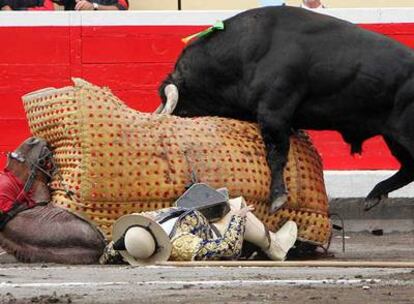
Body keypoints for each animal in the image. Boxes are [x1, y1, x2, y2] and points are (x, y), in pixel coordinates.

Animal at [158, 5, 414, 213]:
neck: (246, 50)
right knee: (408, 168)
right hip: (394, 138)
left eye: (182, 109)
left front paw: (278, 198)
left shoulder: (274, 112)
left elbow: (276, 154)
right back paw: (373, 195)